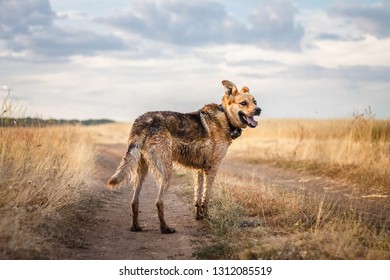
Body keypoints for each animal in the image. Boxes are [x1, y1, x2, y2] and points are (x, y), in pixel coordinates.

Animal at [106, 80, 260, 234]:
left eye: (255, 102)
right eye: (243, 103)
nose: (259, 110)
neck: (225, 117)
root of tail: (141, 121)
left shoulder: (200, 169)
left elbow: (198, 196)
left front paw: (199, 216)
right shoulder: (212, 168)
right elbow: (206, 197)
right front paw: (208, 218)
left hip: (141, 171)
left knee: (134, 202)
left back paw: (136, 227)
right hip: (166, 171)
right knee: (158, 202)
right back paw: (165, 228)